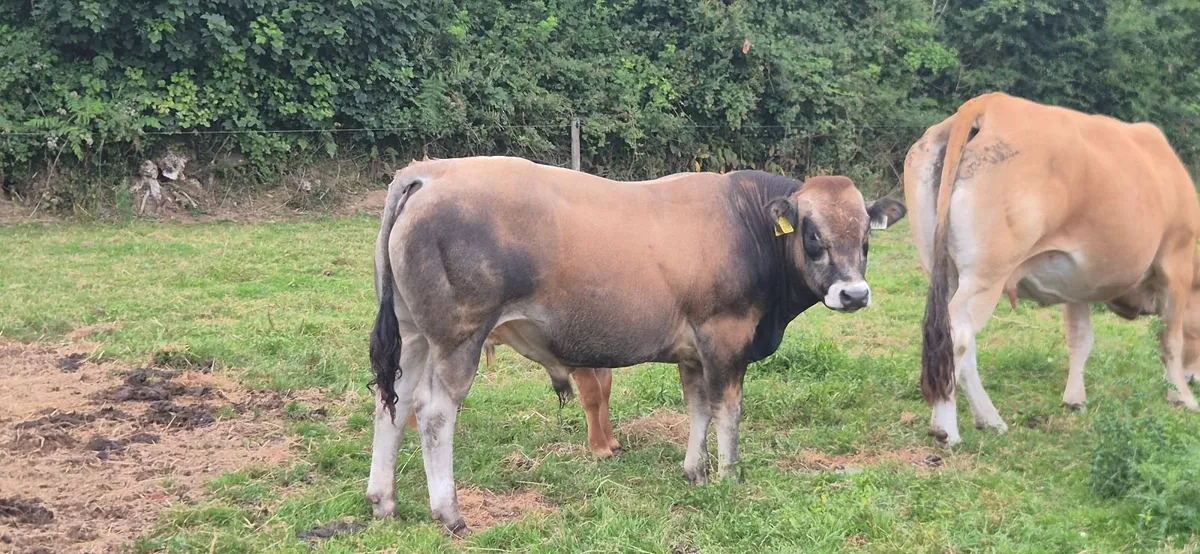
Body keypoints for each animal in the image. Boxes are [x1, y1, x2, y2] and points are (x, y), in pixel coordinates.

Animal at [365, 156, 907, 534]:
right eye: (812, 234)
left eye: (866, 236)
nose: (854, 294)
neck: (745, 222)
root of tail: (429, 173)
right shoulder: (725, 338)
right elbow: (727, 410)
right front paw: (730, 476)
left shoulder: (693, 352)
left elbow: (698, 409)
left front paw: (696, 472)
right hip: (459, 336)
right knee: (434, 412)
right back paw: (449, 512)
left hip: (412, 334)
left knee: (392, 403)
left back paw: (384, 501)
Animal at [903, 91, 1200, 446]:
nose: (1194, 379)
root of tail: (987, 104)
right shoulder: (1176, 264)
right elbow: (1171, 339)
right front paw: (1182, 397)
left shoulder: (1080, 284)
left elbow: (1081, 339)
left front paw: (1075, 399)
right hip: (986, 274)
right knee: (958, 333)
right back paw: (945, 427)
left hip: (944, 269)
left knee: (958, 339)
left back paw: (990, 419)